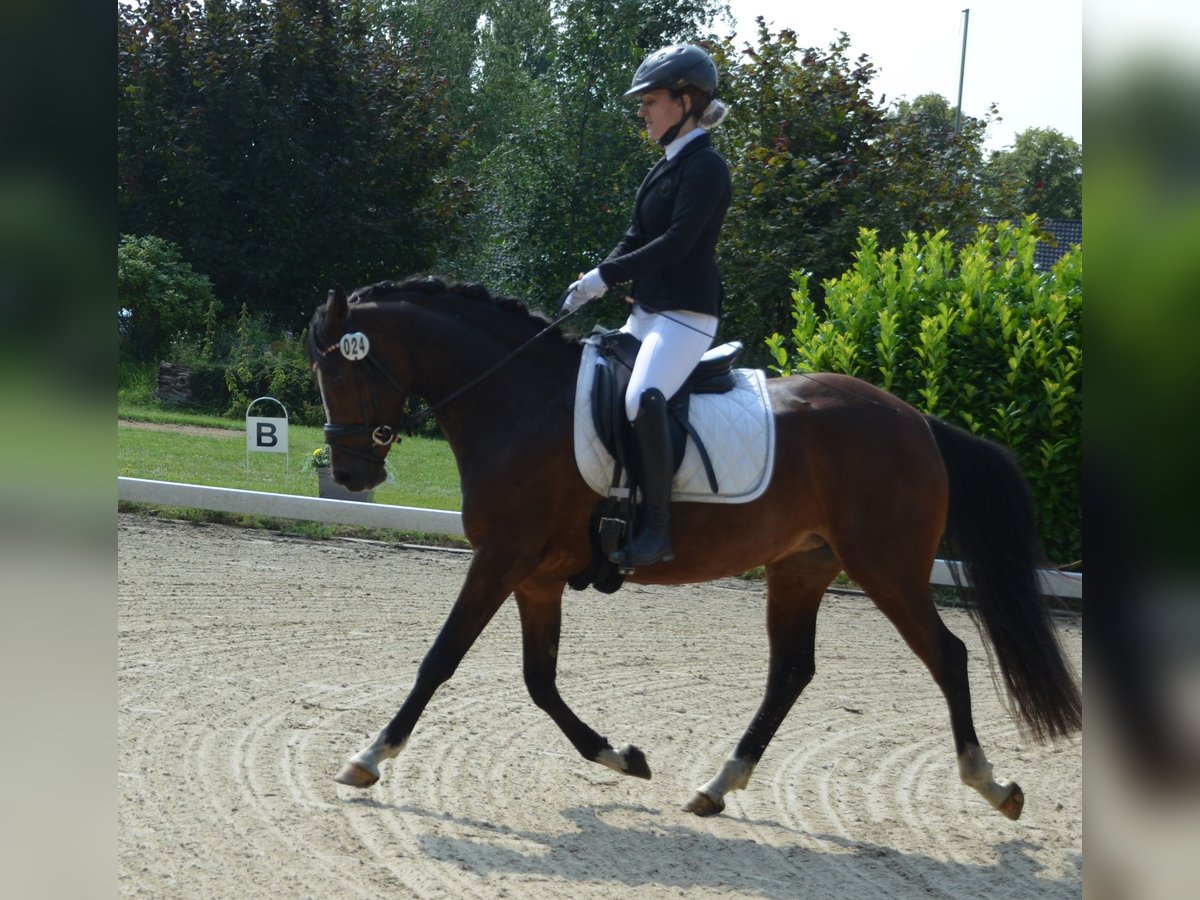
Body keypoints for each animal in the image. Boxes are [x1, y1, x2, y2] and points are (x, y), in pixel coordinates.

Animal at [307, 277, 1080, 825]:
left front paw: (368, 757)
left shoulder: (502, 557)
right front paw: (620, 757)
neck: (519, 401)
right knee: (791, 670)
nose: (350, 475)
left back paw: (992, 785)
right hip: (801, 567)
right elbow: (538, 680)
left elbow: (441, 658)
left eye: (341, 371)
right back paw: (716, 786)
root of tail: (915, 419)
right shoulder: (535, 575)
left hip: (886, 568)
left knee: (946, 655)